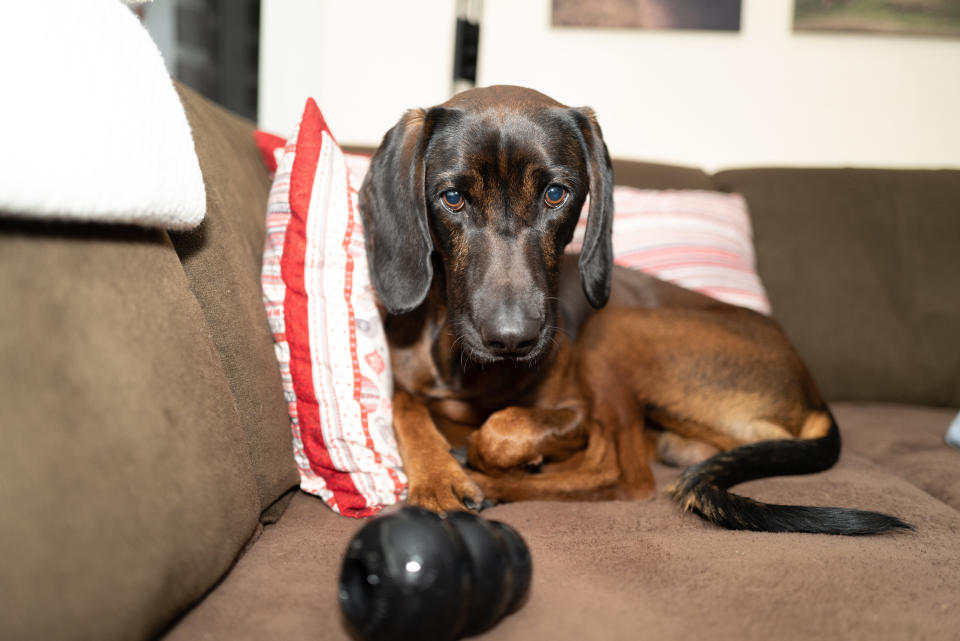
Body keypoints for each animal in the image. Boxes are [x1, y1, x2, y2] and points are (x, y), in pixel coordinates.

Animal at [358, 86, 908, 536]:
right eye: (452, 198)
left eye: (556, 194)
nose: (512, 338)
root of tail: (812, 393)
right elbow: (405, 405)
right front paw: (437, 476)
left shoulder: (575, 409)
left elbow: (503, 429)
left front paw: (481, 459)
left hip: (616, 331)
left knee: (623, 475)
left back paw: (495, 476)